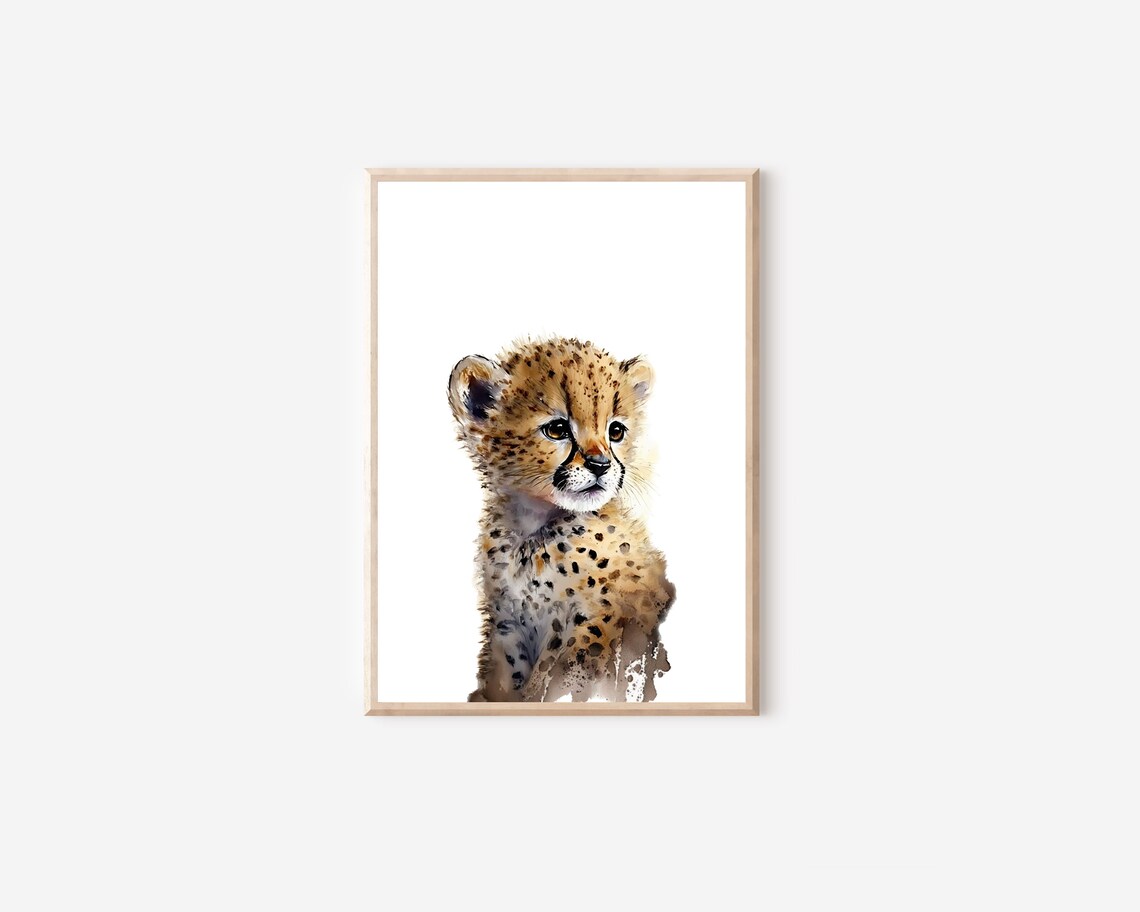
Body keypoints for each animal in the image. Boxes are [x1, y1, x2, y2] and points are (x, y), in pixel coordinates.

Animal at [448, 336, 676, 702]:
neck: (531, 530)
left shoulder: (595, 618)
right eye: (557, 429)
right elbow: (505, 676)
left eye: (615, 431)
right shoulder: (506, 623)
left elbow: (561, 675)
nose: (600, 465)